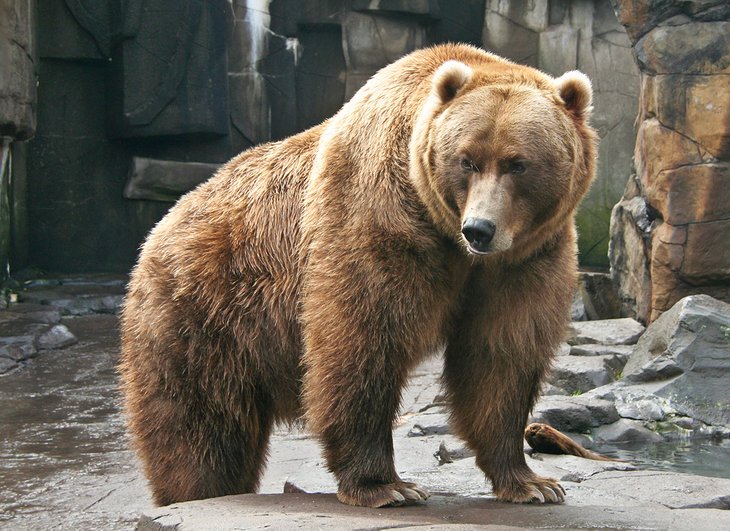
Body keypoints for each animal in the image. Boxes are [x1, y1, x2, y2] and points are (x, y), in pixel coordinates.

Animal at [121, 43, 596, 510]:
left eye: (518, 164)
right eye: (467, 161)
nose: (480, 229)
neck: (444, 231)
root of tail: (158, 230)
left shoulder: (524, 258)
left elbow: (501, 353)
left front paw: (531, 481)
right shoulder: (376, 215)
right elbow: (362, 339)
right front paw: (387, 486)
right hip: (206, 312)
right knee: (202, 427)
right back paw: (197, 492)